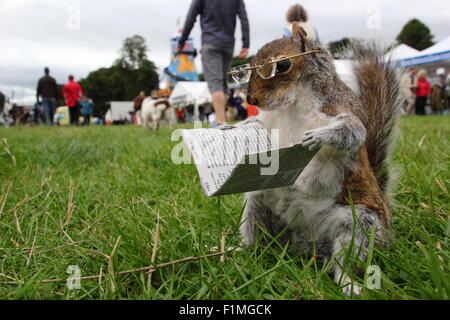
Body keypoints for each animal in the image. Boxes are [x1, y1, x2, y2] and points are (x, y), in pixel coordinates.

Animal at [237, 24, 402, 296]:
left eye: (282, 65)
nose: (251, 100)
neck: (292, 105)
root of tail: (307, 245)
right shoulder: (269, 124)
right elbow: (257, 125)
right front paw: (235, 127)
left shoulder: (338, 109)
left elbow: (352, 132)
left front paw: (319, 136)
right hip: (260, 206)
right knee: (258, 236)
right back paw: (239, 251)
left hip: (361, 224)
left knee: (347, 259)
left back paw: (349, 283)